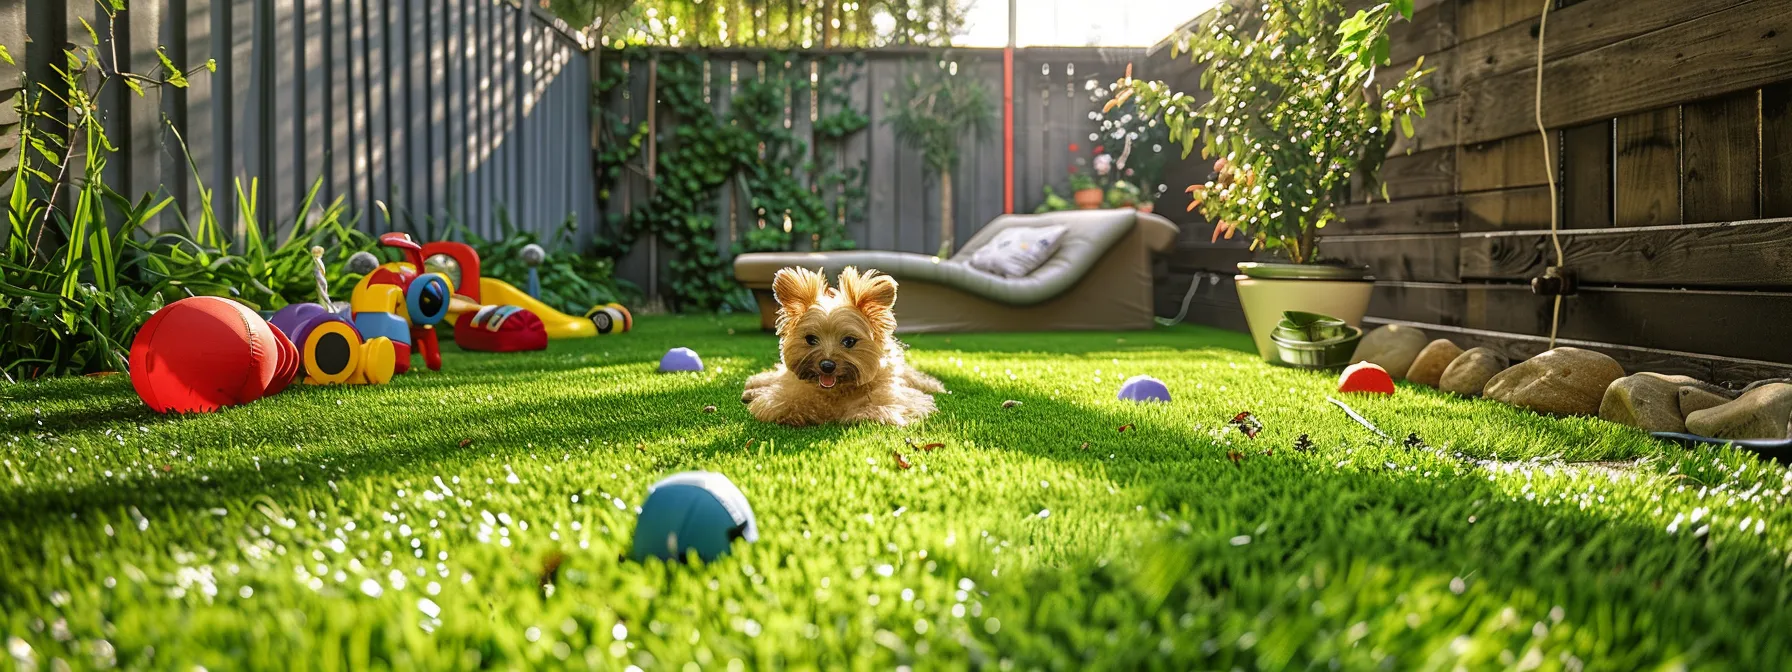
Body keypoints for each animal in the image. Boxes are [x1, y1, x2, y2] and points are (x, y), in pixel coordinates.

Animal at [741, 267, 946, 428]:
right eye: (810, 339)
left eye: (849, 341)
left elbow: (875, 409)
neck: (837, 390)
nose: (827, 365)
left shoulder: (894, 398)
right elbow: (783, 403)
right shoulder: (786, 393)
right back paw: (752, 388)